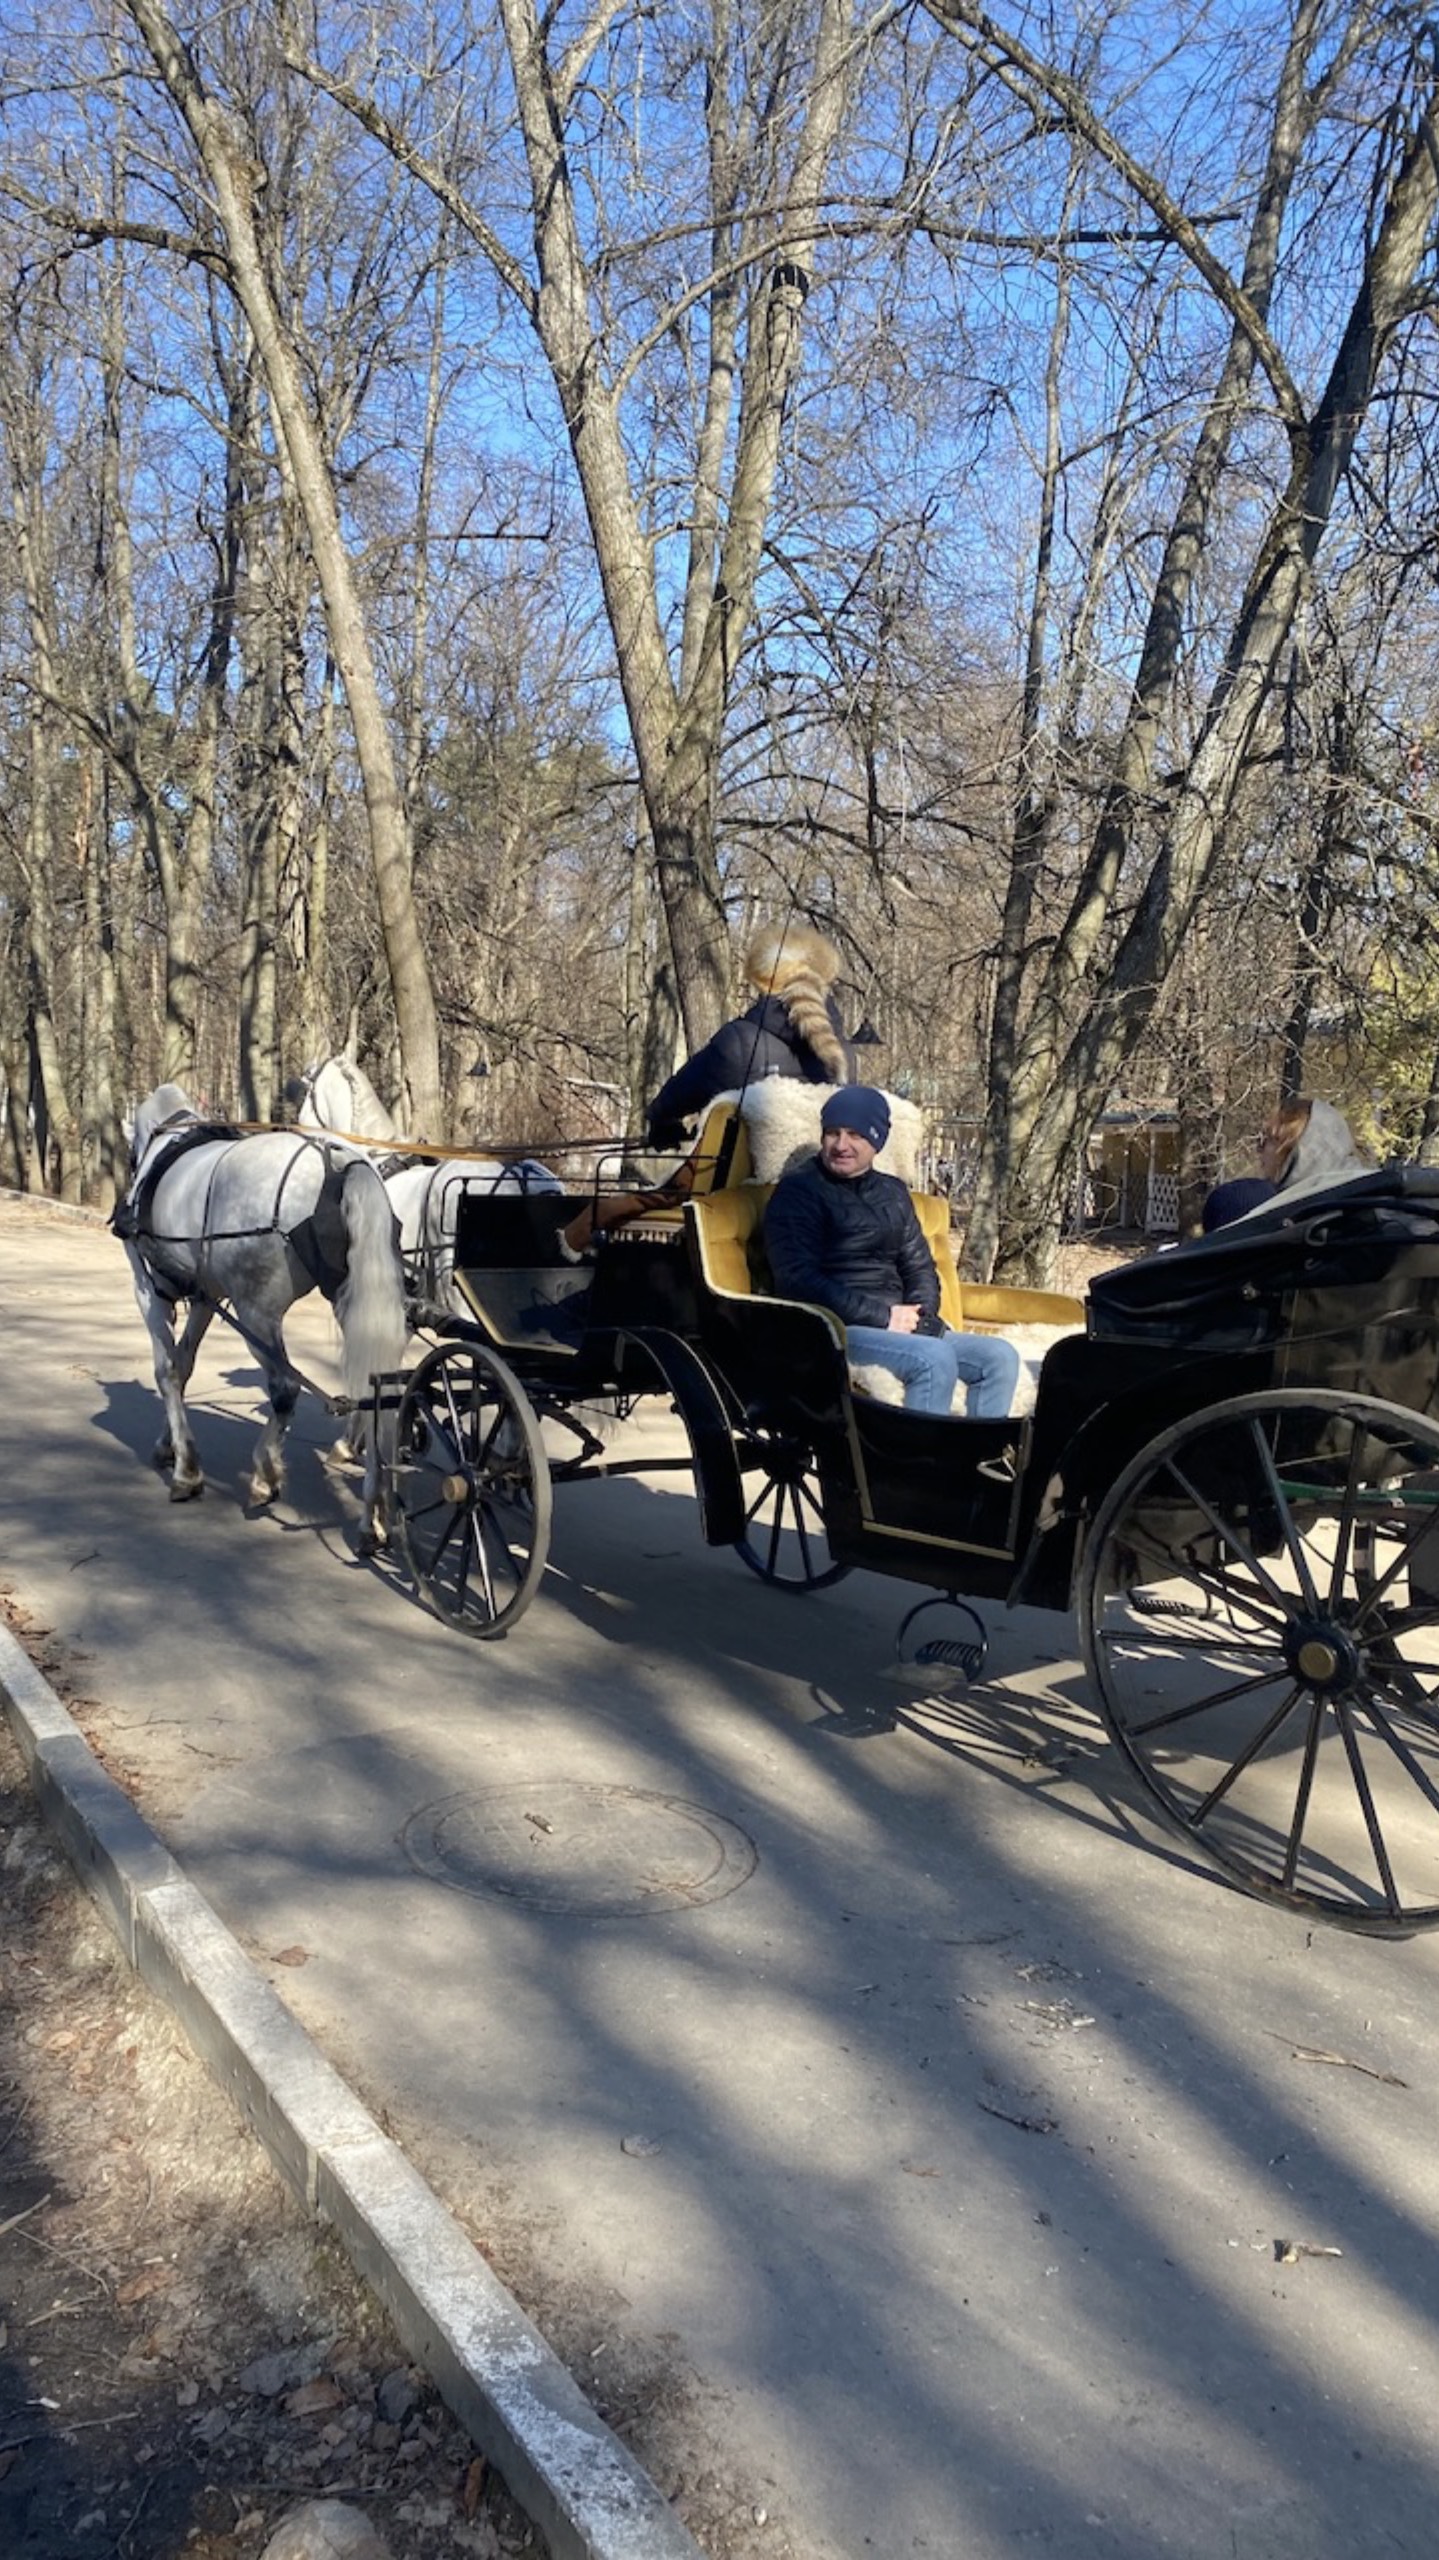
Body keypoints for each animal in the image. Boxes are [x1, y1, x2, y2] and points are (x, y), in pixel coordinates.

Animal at [115, 1082, 409, 1533]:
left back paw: (265, 1473)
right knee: (380, 1390)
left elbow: (166, 1371)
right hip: (352, 1299)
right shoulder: (205, 1296)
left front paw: (185, 1470)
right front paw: (170, 1445)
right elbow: (183, 1365)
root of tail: (338, 1162)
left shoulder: (149, 1291)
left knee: (285, 1387)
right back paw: (372, 1515)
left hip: (256, 1312)